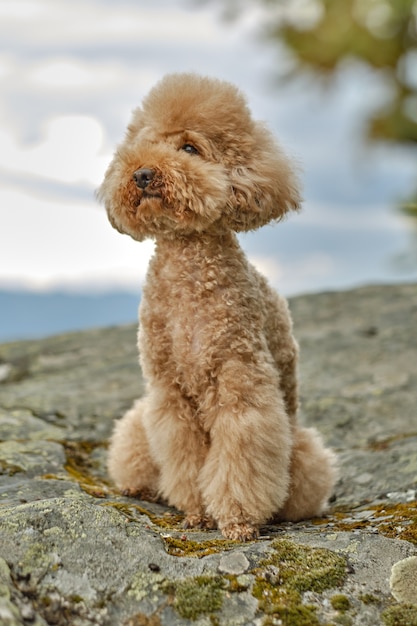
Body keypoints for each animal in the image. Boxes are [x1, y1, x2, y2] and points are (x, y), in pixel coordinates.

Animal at [96, 73, 334, 540]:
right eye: (145, 144)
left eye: (189, 148)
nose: (142, 174)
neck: (188, 267)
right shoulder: (168, 393)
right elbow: (183, 456)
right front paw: (196, 512)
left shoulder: (240, 383)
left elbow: (240, 458)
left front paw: (237, 522)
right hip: (138, 419)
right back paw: (141, 488)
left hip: (302, 447)